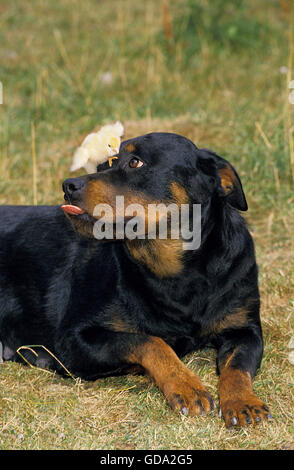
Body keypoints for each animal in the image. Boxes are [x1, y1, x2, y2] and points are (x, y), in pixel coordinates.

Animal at [0, 133, 274, 430]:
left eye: (135, 162)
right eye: (103, 166)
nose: (67, 185)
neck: (175, 271)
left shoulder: (245, 330)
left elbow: (237, 367)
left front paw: (242, 401)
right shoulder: (73, 340)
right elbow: (151, 342)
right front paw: (186, 385)